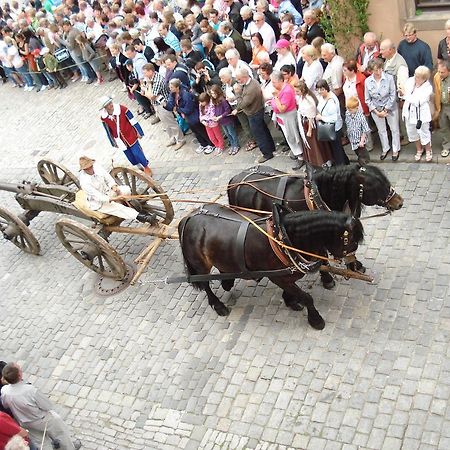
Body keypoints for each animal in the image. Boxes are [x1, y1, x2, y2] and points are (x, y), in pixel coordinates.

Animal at [178, 205, 364, 330]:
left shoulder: (287, 275)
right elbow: (306, 297)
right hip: (200, 265)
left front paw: (290, 301)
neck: (284, 238)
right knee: (205, 284)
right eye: (351, 242)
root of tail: (188, 218)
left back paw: (228, 281)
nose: (355, 265)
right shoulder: (277, 276)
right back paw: (218, 305)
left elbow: (292, 290)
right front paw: (316, 319)